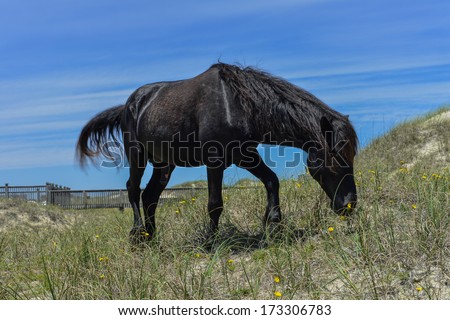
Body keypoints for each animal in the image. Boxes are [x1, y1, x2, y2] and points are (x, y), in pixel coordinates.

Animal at [77, 62, 358, 242]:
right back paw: (138, 235)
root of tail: (130, 104)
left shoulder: (244, 156)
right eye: (336, 160)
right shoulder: (215, 161)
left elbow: (272, 181)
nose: (349, 205)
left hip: (164, 164)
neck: (237, 104)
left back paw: (152, 238)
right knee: (133, 190)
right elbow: (215, 204)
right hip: (137, 155)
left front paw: (273, 223)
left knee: (150, 196)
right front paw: (210, 242)